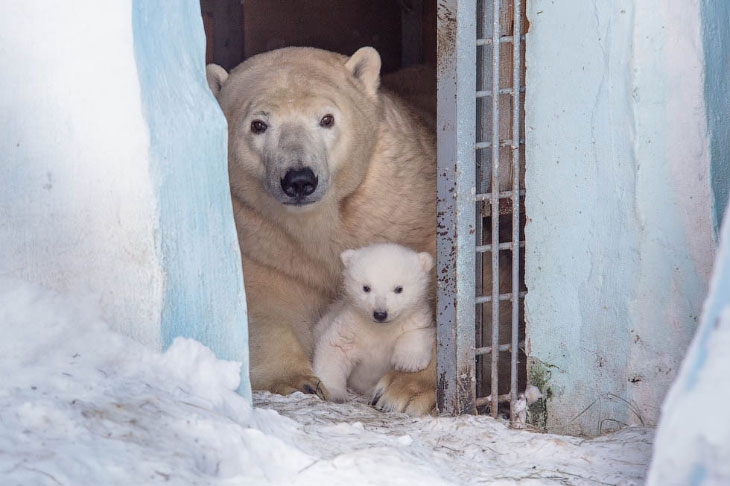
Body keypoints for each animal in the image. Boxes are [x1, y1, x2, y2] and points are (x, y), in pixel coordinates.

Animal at [205, 47, 436, 416]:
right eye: (258, 124)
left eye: (327, 119)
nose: (299, 179)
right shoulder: (262, 238)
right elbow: (265, 304)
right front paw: (299, 380)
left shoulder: (405, 208)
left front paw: (404, 390)